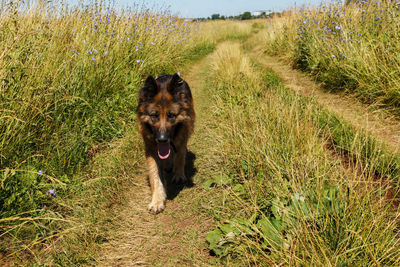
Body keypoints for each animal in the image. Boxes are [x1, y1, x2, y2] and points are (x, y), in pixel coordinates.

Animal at [136, 73, 195, 214]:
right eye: (154, 115)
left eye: (171, 115)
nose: (162, 139)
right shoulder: (151, 148)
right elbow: (155, 175)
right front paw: (157, 200)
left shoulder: (182, 136)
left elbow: (180, 156)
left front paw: (179, 174)